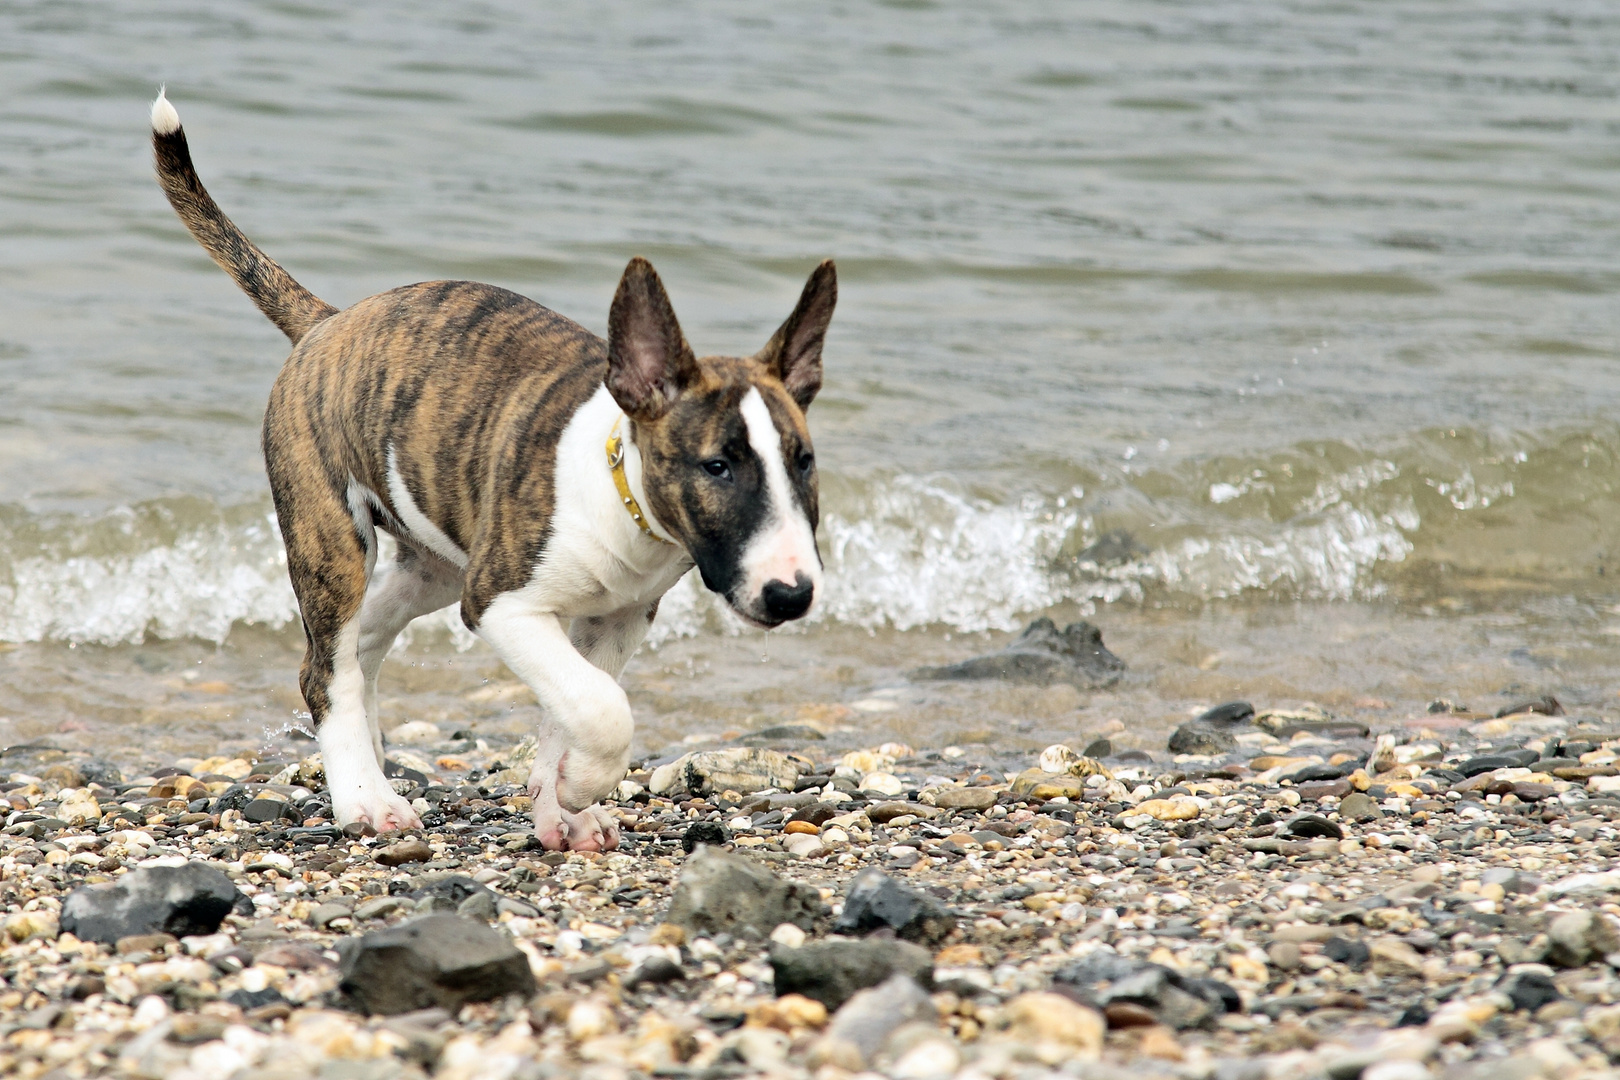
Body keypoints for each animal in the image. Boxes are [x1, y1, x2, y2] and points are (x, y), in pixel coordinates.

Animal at [150, 93, 835, 854]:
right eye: (716, 466)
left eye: (803, 461)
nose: (791, 595)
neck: (622, 496)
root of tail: (329, 323)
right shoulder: (503, 604)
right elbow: (602, 707)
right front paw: (578, 786)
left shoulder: (618, 619)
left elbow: (577, 703)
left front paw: (562, 803)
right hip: (335, 540)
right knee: (324, 668)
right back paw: (365, 797)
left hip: (438, 562)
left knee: (363, 643)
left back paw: (373, 758)